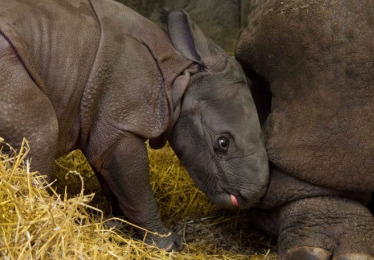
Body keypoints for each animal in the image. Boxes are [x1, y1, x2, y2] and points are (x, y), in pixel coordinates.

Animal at [0, 0, 268, 252]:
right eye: (222, 143)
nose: (252, 195)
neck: (179, 78)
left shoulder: (105, 122)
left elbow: (112, 178)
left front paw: (118, 224)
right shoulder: (122, 125)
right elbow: (136, 188)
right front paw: (167, 243)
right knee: (41, 132)